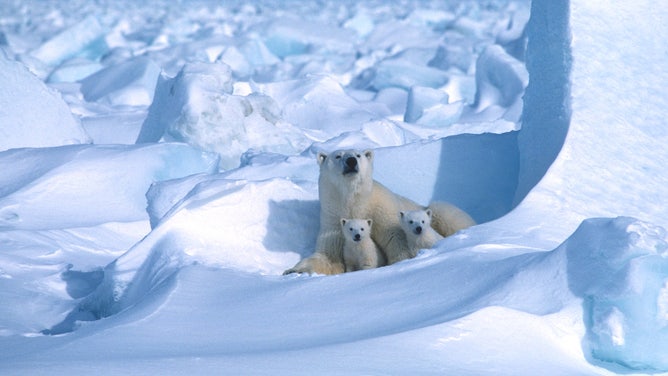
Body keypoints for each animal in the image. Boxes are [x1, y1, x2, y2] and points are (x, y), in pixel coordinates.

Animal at [282, 148, 474, 274]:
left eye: (358, 154)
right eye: (338, 156)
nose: (351, 161)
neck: (355, 203)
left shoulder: (382, 212)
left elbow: (396, 240)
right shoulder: (333, 221)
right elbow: (328, 256)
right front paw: (293, 270)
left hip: (432, 210)